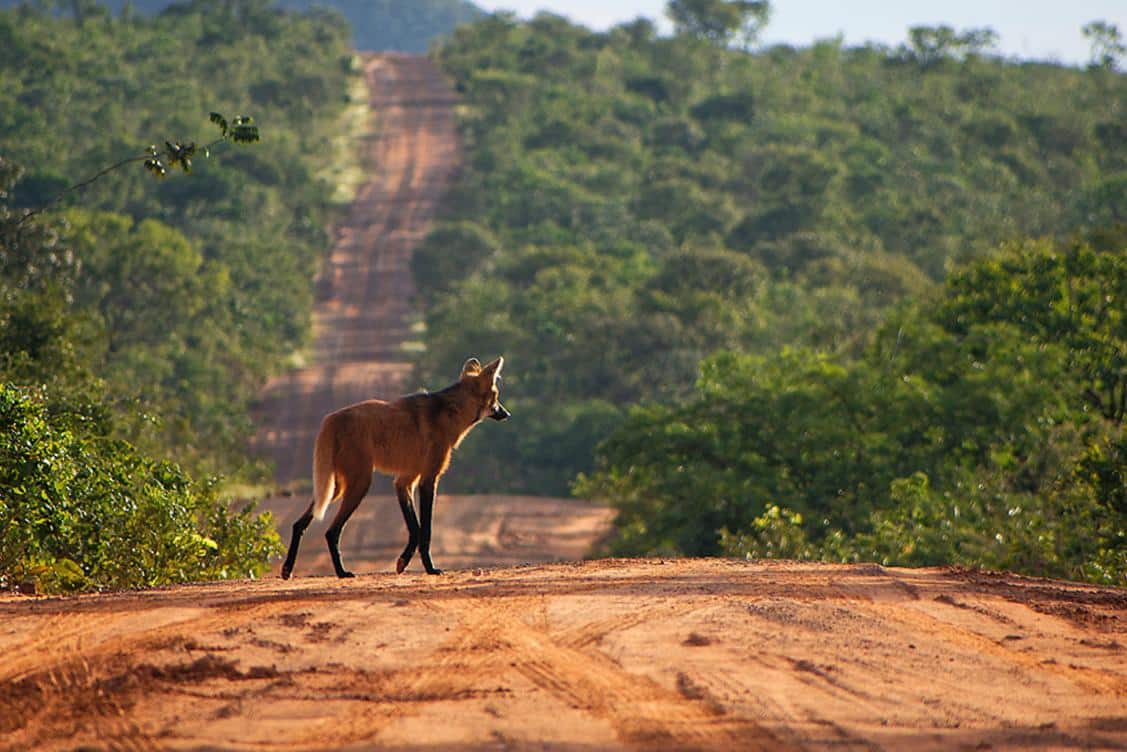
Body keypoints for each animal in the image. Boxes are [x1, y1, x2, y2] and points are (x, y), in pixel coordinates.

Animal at [281, 356, 511, 581]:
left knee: (299, 524)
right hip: (360, 483)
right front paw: (430, 568)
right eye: (496, 396)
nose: (507, 413)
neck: (450, 414)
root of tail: (331, 418)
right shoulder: (429, 478)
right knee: (331, 531)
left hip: (335, 488)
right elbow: (425, 531)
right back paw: (342, 572)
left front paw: (403, 562)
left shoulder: (405, 480)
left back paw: (287, 569)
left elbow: (415, 529)